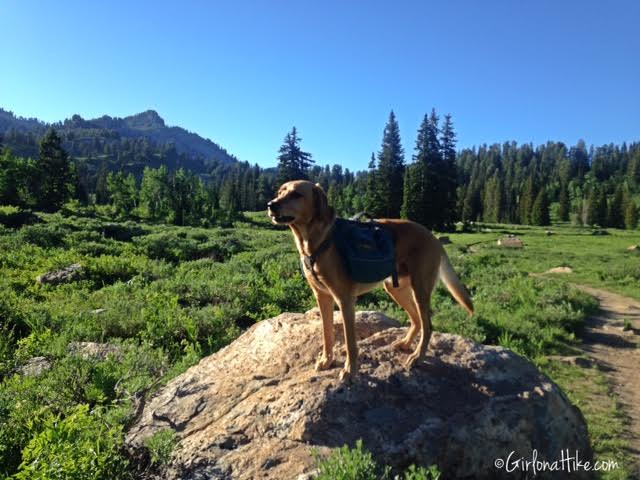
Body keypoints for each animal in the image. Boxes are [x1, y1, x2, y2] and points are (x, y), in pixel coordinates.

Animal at [268, 180, 472, 382]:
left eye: (296, 195)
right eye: (279, 192)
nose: (271, 205)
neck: (314, 242)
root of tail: (433, 237)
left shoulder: (345, 300)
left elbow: (350, 342)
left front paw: (350, 371)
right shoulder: (323, 297)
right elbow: (327, 334)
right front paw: (327, 361)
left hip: (420, 289)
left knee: (428, 326)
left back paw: (417, 357)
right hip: (396, 288)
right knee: (416, 320)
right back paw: (406, 344)